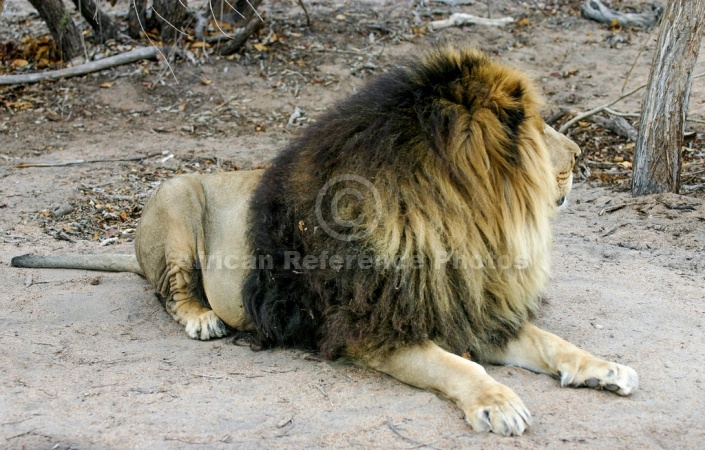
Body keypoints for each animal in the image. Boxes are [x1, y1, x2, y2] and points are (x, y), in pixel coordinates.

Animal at [11, 45, 640, 436]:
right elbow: (457, 368)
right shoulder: (370, 330)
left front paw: (605, 368)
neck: (460, 228)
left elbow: (552, 342)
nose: (580, 156)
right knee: (171, 291)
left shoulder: (466, 305)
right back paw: (202, 319)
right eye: (536, 130)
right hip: (177, 200)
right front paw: (498, 403)